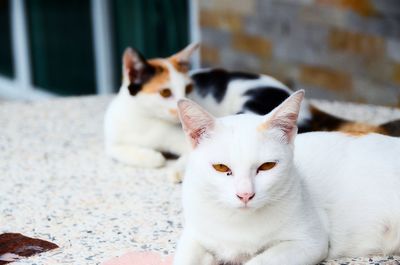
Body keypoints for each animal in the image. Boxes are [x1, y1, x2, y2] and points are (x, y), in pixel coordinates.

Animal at [104, 42, 400, 172]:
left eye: (188, 90)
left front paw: (174, 167)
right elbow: (119, 150)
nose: (181, 106)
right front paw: (150, 157)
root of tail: (308, 106)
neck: (146, 121)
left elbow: (193, 154)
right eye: (165, 92)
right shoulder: (114, 138)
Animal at [174, 90, 400, 264]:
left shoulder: (310, 243)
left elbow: (260, 260)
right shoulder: (194, 235)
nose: (245, 195)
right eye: (221, 167)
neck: (238, 222)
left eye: (267, 166)